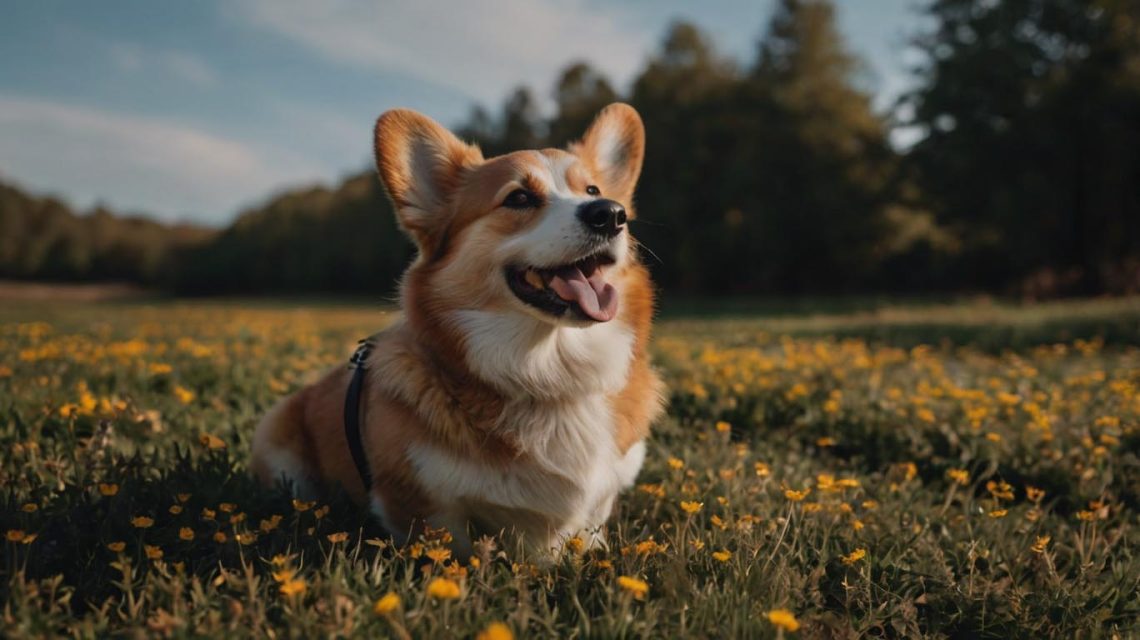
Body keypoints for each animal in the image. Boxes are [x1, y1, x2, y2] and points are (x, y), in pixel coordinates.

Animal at [249, 102, 661, 556]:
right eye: (519, 197)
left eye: (592, 190)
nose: (610, 213)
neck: (549, 374)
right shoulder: (420, 504)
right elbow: (452, 545)